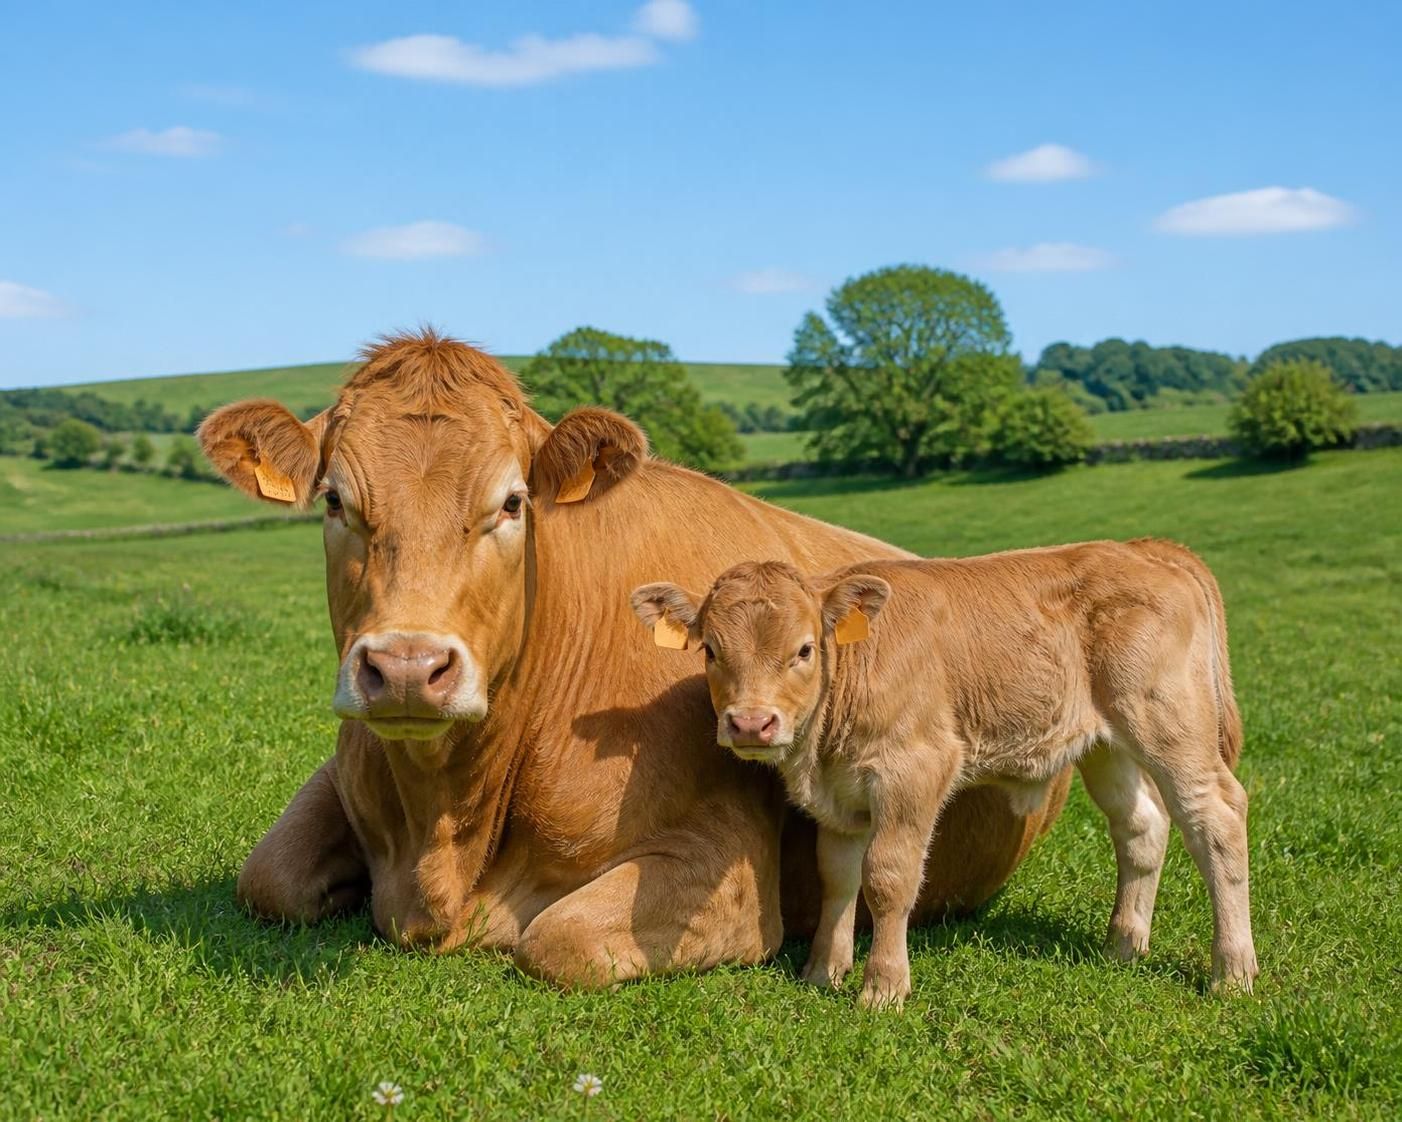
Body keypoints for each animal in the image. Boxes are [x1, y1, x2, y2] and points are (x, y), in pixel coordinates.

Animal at [197, 329, 1069, 987]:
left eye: (512, 502)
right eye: (335, 500)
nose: (409, 668)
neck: (446, 830)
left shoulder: (724, 868)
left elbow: (558, 940)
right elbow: (267, 878)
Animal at [630, 544, 1255, 1006]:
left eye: (805, 650)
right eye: (711, 650)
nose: (751, 723)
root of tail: (1145, 548)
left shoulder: (915, 771)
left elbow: (888, 878)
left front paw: (882, 987)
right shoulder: (842, 796)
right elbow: (838, 877)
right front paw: (822, 972)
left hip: (1169, 725)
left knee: (1218, 819)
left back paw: (1232, 971)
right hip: (1109, 744)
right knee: (1141, 827)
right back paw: (1123, 946)